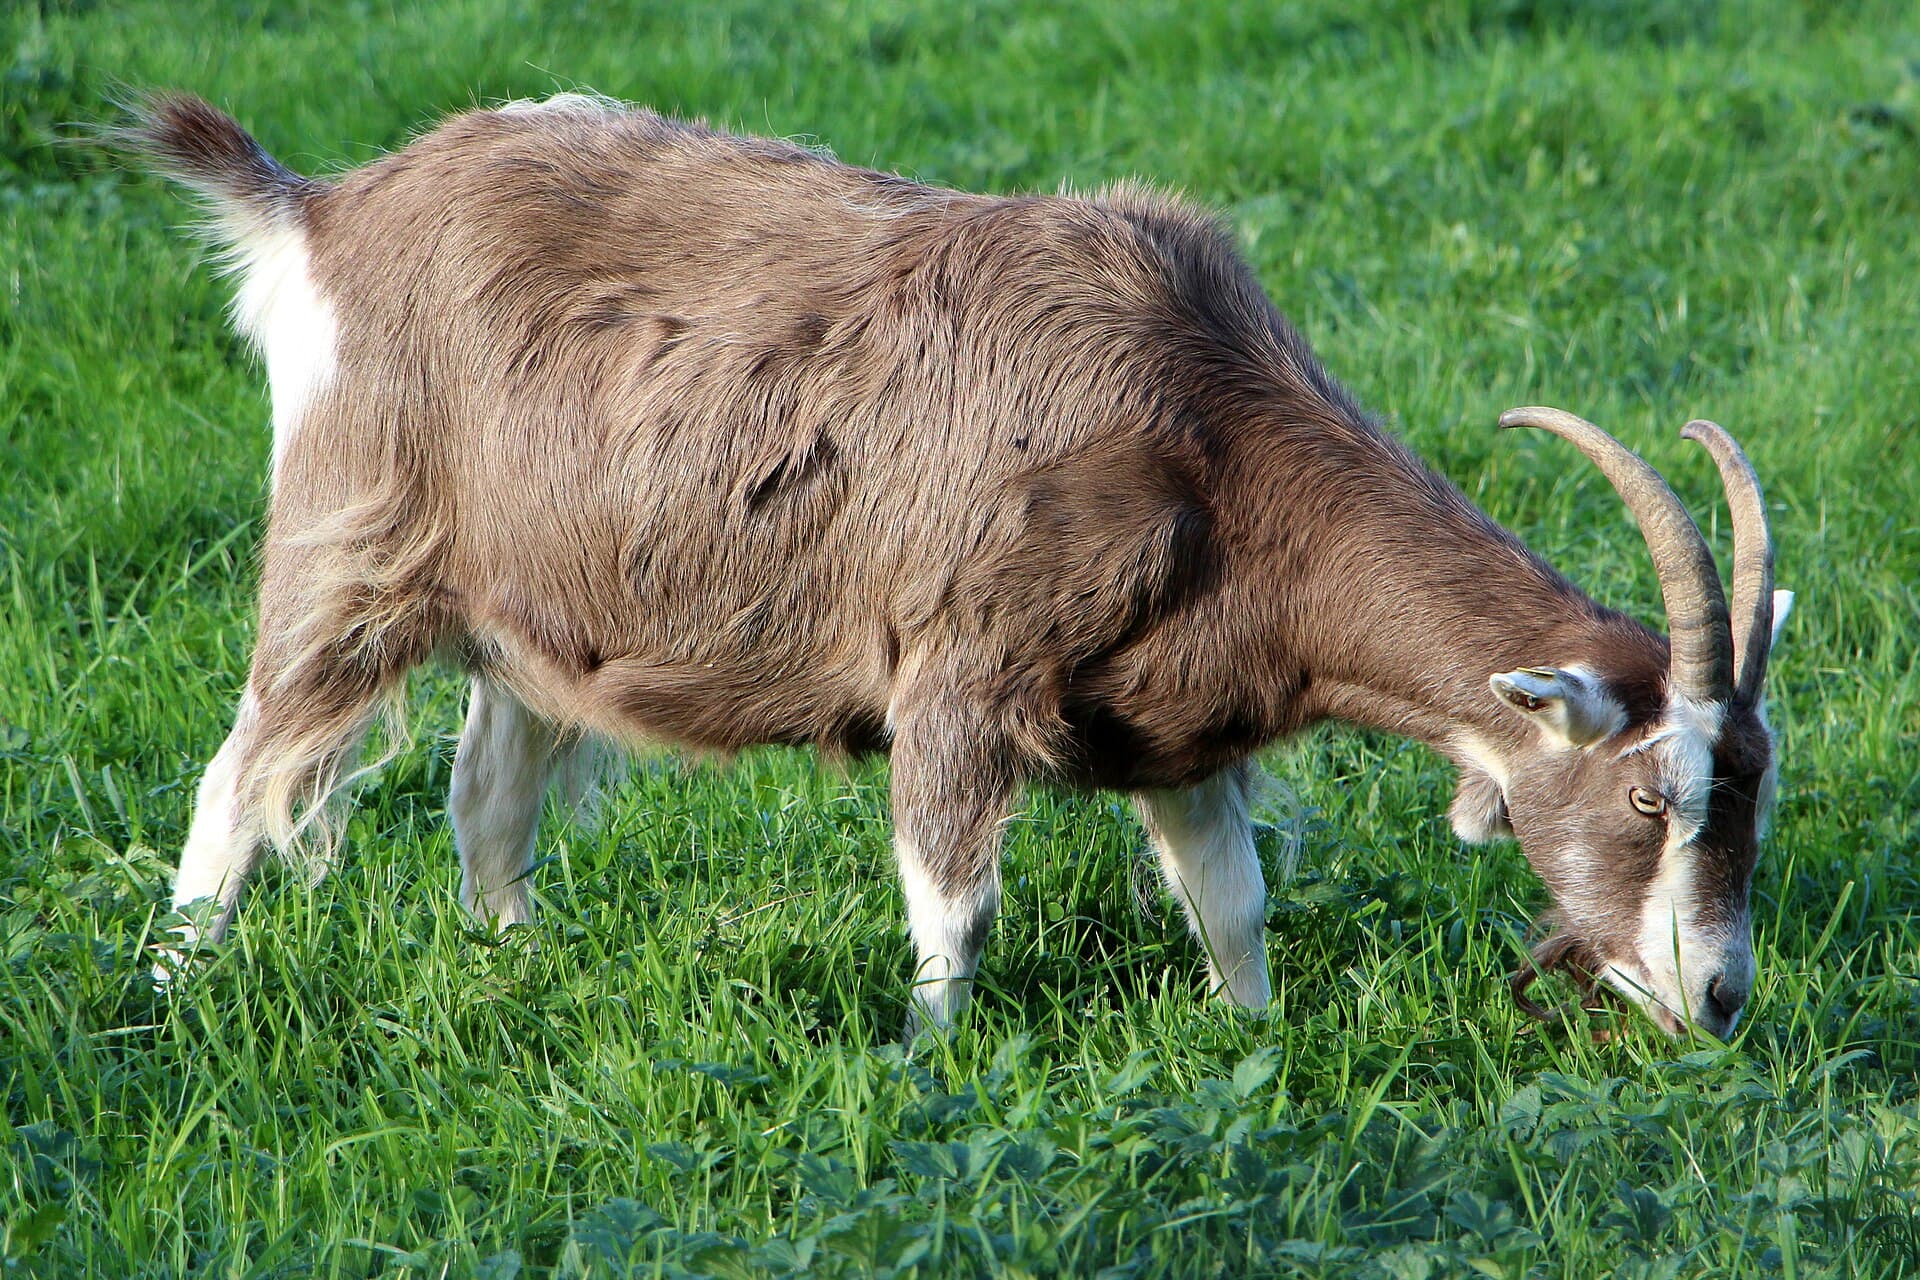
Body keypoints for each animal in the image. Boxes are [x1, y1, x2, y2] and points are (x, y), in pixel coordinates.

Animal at [118, 92, 1789, 1038]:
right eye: (1656, 796)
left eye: (1760, 789)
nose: (1720, 998)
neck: (1205, 424)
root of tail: (324, 214)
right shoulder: (960, 678)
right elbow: (954, 911)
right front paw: (932, 1069)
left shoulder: (1177, 714)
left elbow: (1233, 900)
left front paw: (1253, 1049)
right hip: (347, 552)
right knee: (236, 774)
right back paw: (172, 992)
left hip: (535, 605)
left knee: (489, 791)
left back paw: (509, 966)